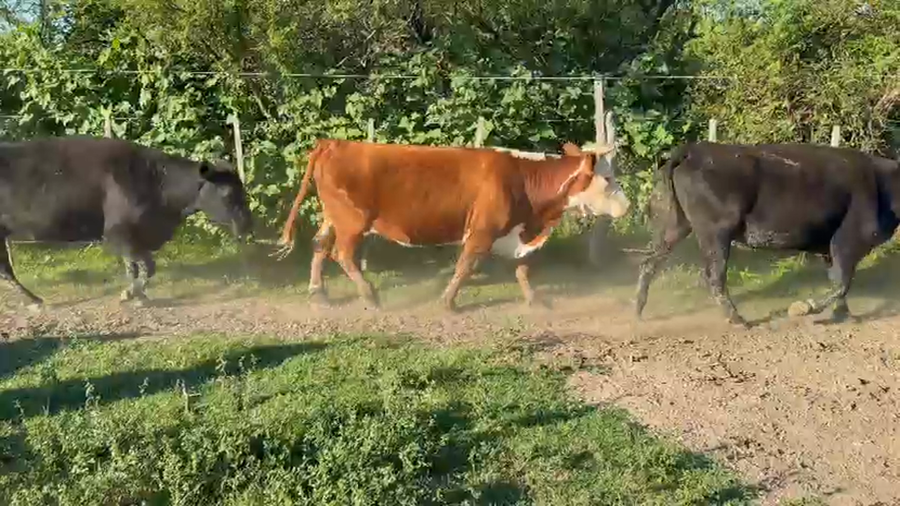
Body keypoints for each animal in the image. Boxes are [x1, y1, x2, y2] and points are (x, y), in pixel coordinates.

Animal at [0, 136, 253, 308]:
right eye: (227, 193)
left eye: (243, 189)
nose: (247, 225)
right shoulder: (118, 233)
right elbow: (148, 266)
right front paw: (133, 295)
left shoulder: (135, 236)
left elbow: (134, 267)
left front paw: (137, 294)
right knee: (6, 269)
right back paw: (35, 300)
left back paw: (33, 299)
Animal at [274, 113, 631, 311]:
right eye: (608, 178)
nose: (626, 205)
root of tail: (333, 143)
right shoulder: (482, 231)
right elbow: (465, 267)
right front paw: (448, 302)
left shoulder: (515, 233)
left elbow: (522, 270)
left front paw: (535, 300)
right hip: (352, 222)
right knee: (342, 254)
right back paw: (370, 297)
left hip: (333, 217)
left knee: (320, 246)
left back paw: (319, 294)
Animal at [634, 141, 900, 327]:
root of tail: (693, 150)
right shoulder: (848, 241)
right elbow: (842, 282)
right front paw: (804, 307)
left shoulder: (831, 246)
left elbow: (837, 281)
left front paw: (843, 315)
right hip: (716, 233)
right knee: (714, 275)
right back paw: (738, 320)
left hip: (676, 226)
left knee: (650, 262)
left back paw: (637, 309)